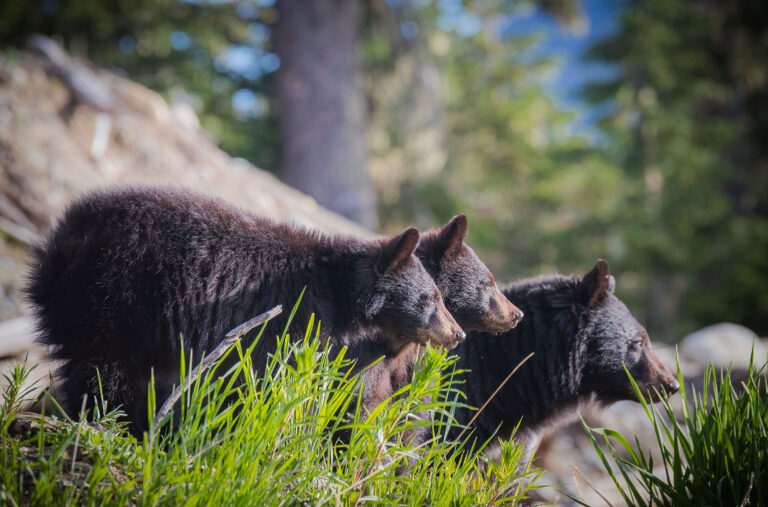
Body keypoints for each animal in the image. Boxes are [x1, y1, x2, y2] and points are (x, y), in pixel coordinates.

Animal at [26, 186, 465, 435]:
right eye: (432, 299)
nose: (458, 333)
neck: (339, 296)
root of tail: (64, 238)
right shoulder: (288, 323)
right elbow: (275, 384)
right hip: (116, 294)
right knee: (106, 368)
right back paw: (113, 421)